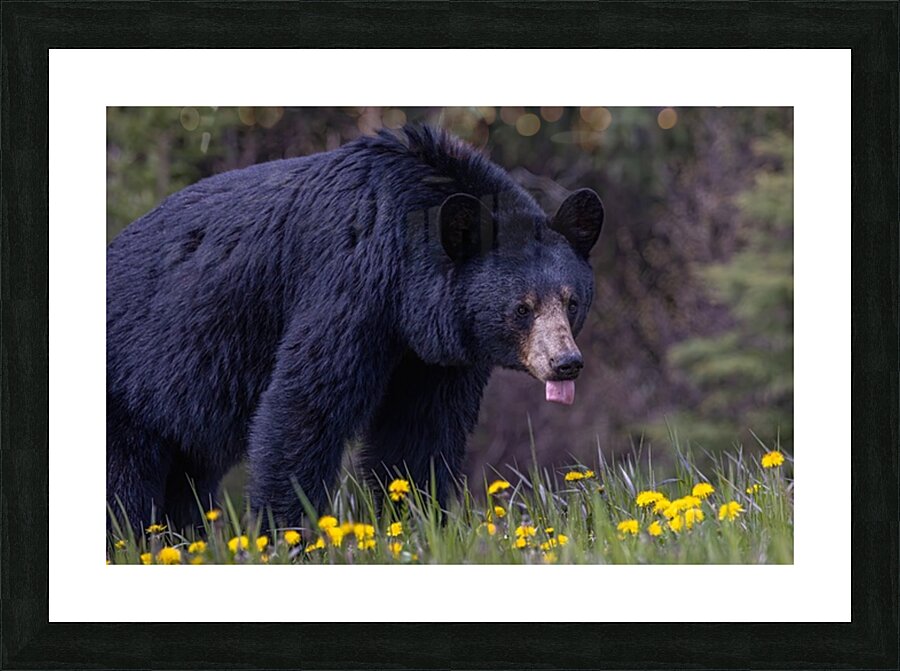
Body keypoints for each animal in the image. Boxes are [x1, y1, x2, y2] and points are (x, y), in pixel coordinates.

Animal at [107, 124, 604, 530]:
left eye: (571, 301)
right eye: (522, 308)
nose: (565, 362)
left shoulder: (436, 352)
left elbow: (421, 432)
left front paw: (415, 520)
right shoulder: (348, 283)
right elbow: (305, 404)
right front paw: (288, 535)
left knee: (187, 477)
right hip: (132, 381)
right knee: (124, 482)